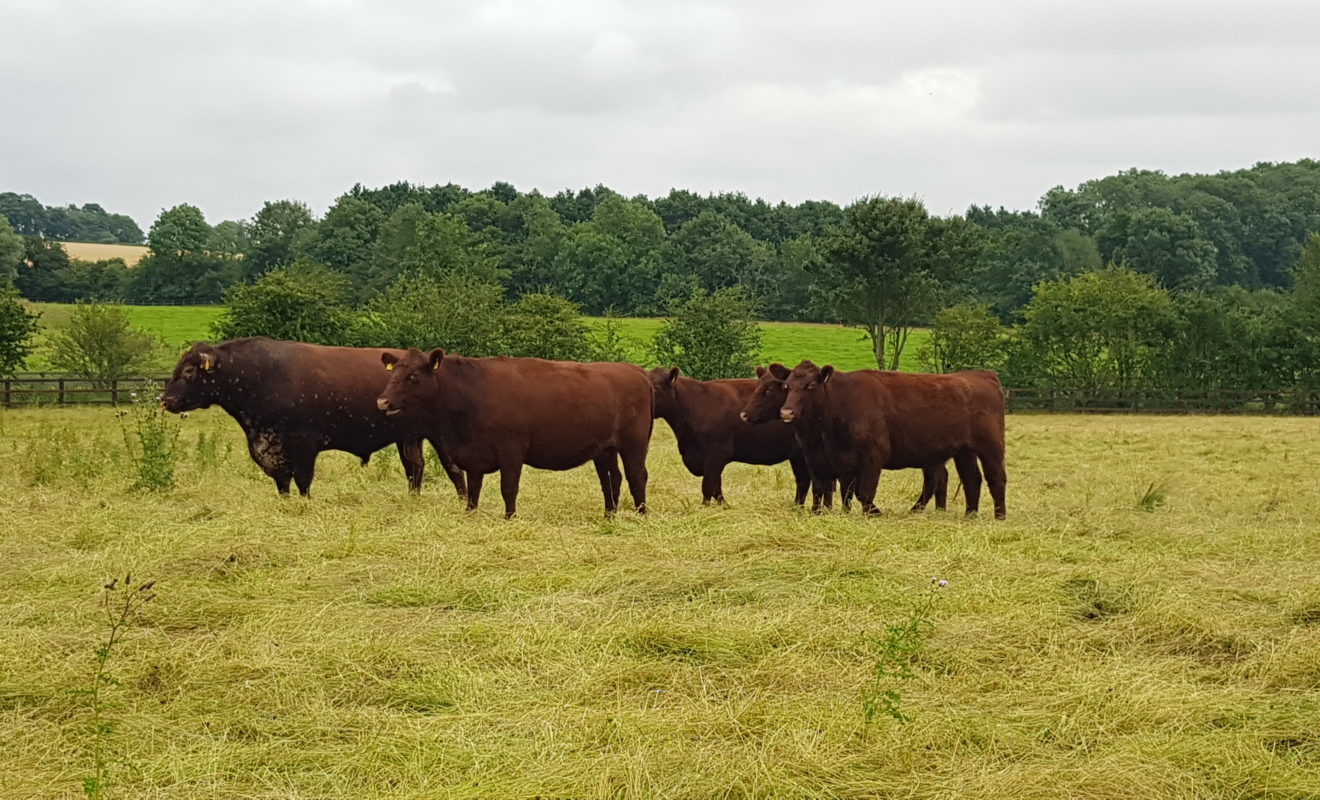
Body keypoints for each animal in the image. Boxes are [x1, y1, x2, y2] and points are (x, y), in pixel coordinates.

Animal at [377, 351, 654, 520]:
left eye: (413, 376)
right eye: (393, 373)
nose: (382, 401)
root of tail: (636, 371)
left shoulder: (511, 449)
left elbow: (508, 488)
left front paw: (509, 518)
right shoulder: (474, 456)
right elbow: (474, 489)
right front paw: (470, 514)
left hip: (635, 444)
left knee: (637, 476)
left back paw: (641, 515)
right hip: (605, 448)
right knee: (611, 479)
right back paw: (609, 515)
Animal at [755, 361, 997, 520]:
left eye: (811, 386)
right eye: (786, 386)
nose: (787, 412)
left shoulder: (873, 455)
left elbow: (862, 490)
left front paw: (872, 513)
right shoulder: (836, 459)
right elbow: (842, 490)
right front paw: (841, 513)